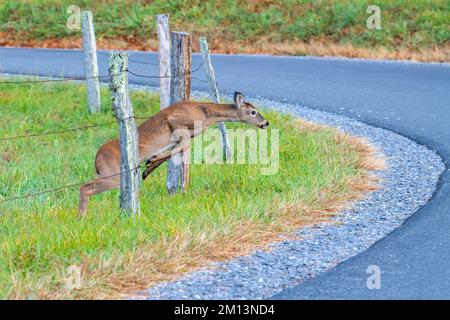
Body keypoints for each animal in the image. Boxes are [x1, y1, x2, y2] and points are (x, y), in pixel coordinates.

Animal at [78, 92, 268, 218]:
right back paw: (81, 218)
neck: (206, 114)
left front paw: (150, 167)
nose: (266, 122)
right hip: (114, 173)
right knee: (85, 187)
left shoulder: (182, 136)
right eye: (253, 112)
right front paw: (152, 162)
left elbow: (177, 152)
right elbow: (183, 151)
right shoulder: (177, 122)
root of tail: (96, 159)